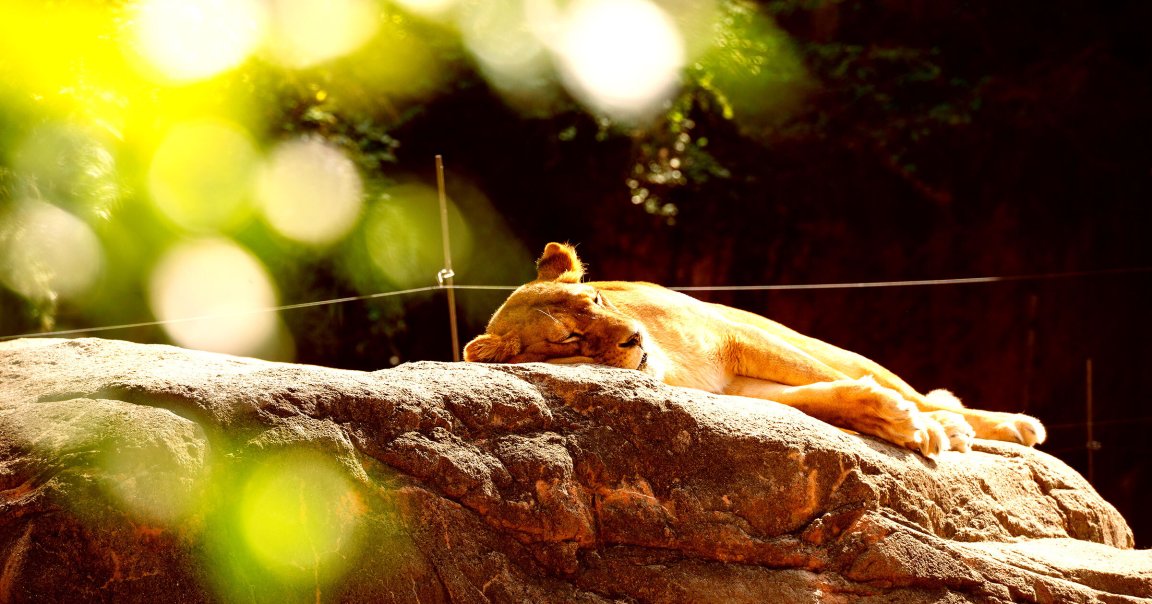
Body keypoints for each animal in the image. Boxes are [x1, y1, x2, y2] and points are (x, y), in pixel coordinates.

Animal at [463, 242, 1046, 458]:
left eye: (596, 298)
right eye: (568, 338)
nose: (634, 338)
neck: (669, 366)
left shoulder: (738, 339)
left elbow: (824, 378)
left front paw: (924, 426)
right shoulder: (732, 391)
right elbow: (821, 399)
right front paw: (894, 422)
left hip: (807, 337)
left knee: (916, 389)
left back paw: (997, 424)